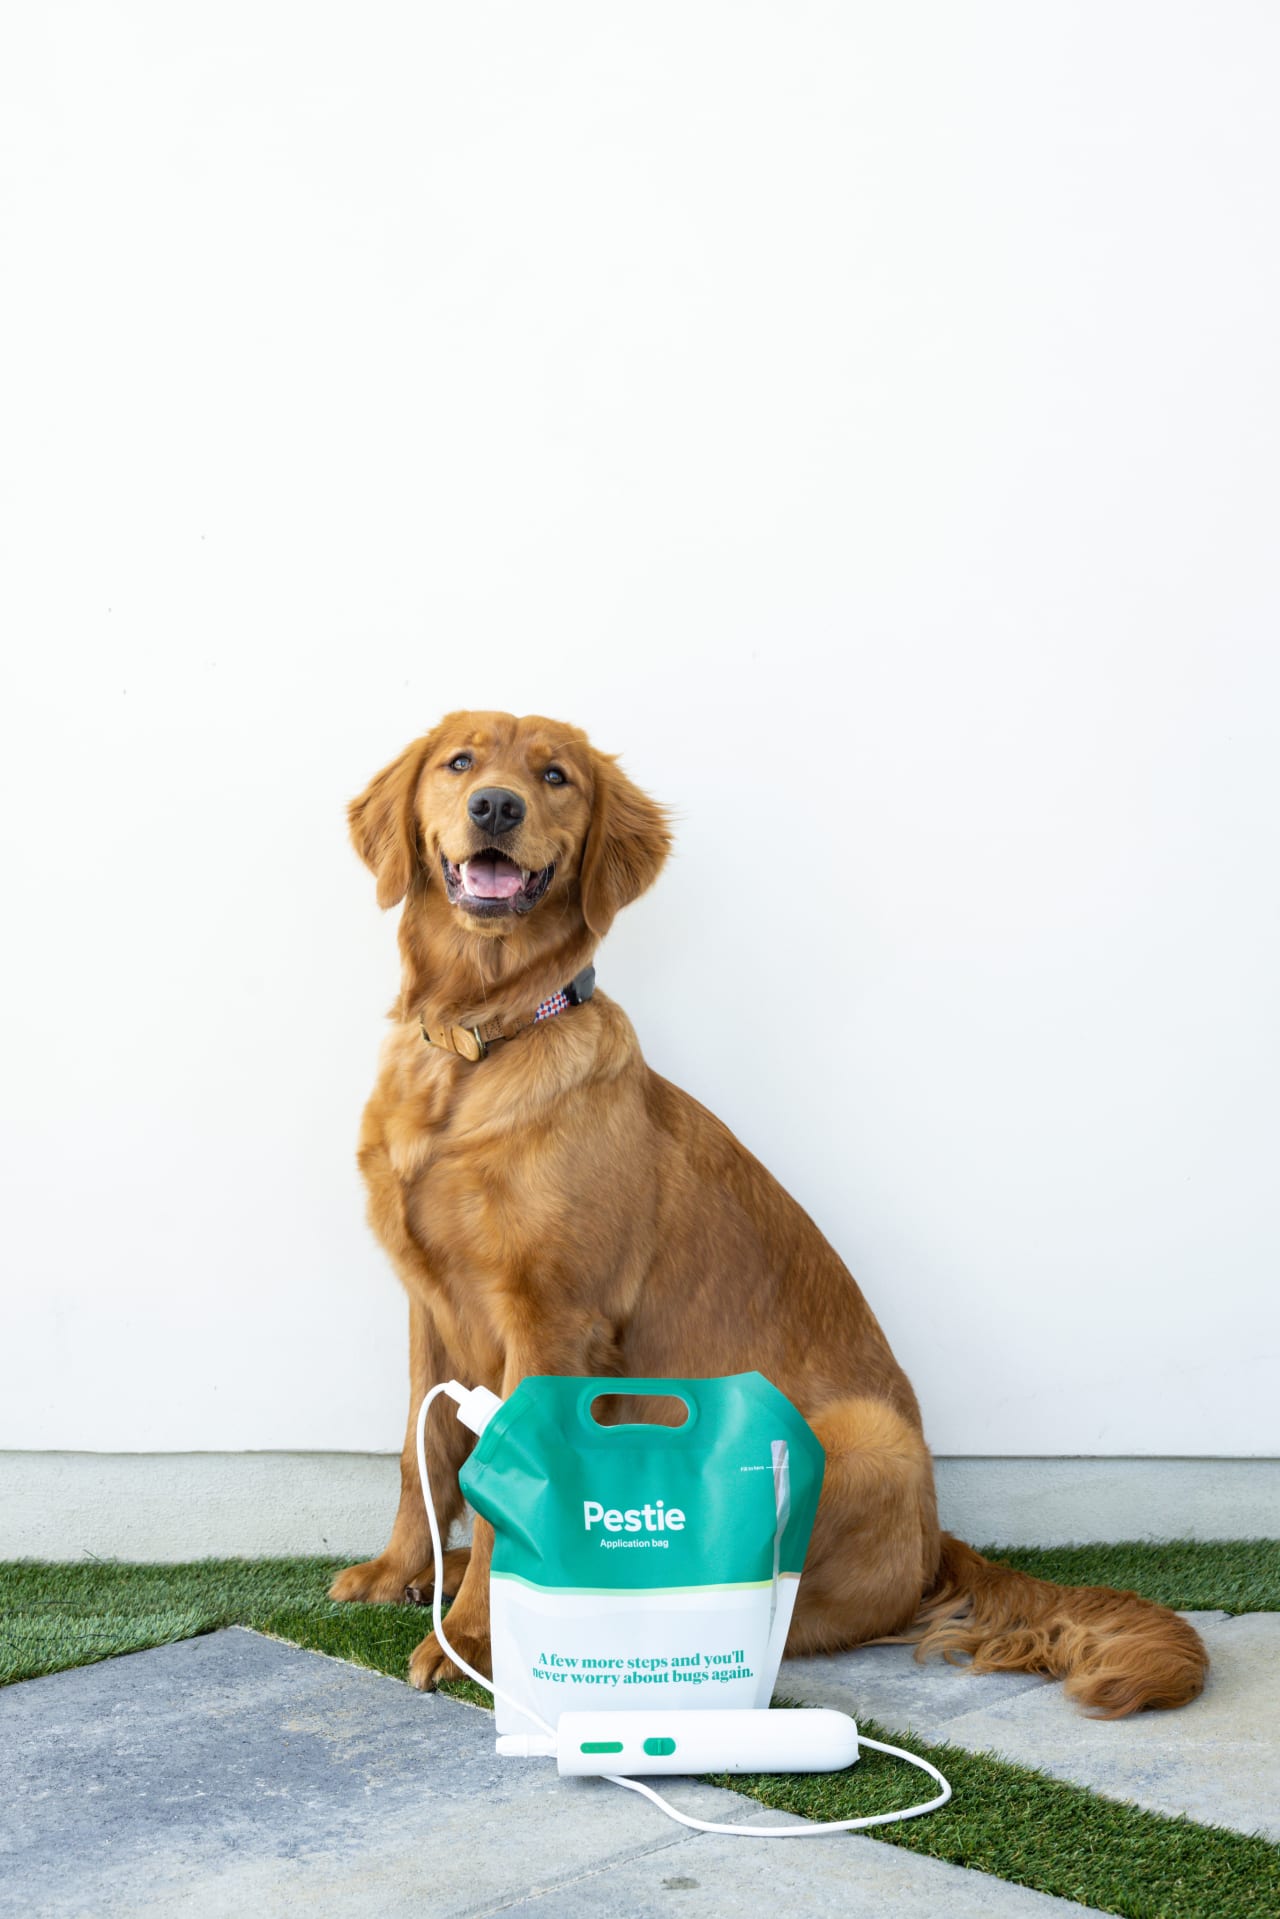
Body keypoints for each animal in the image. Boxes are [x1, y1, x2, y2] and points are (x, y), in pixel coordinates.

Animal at [333, 713, 1212, 1719]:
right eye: (460, 762)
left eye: (554, 776)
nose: (495, 807)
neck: (476, 1042)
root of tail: (941, 1540)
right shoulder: (428, 1302)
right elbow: (423, 1450)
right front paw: (400, 1570)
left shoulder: (550, 1316)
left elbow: (495, 1495)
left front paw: (473, 1636)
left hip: (860, 1436)